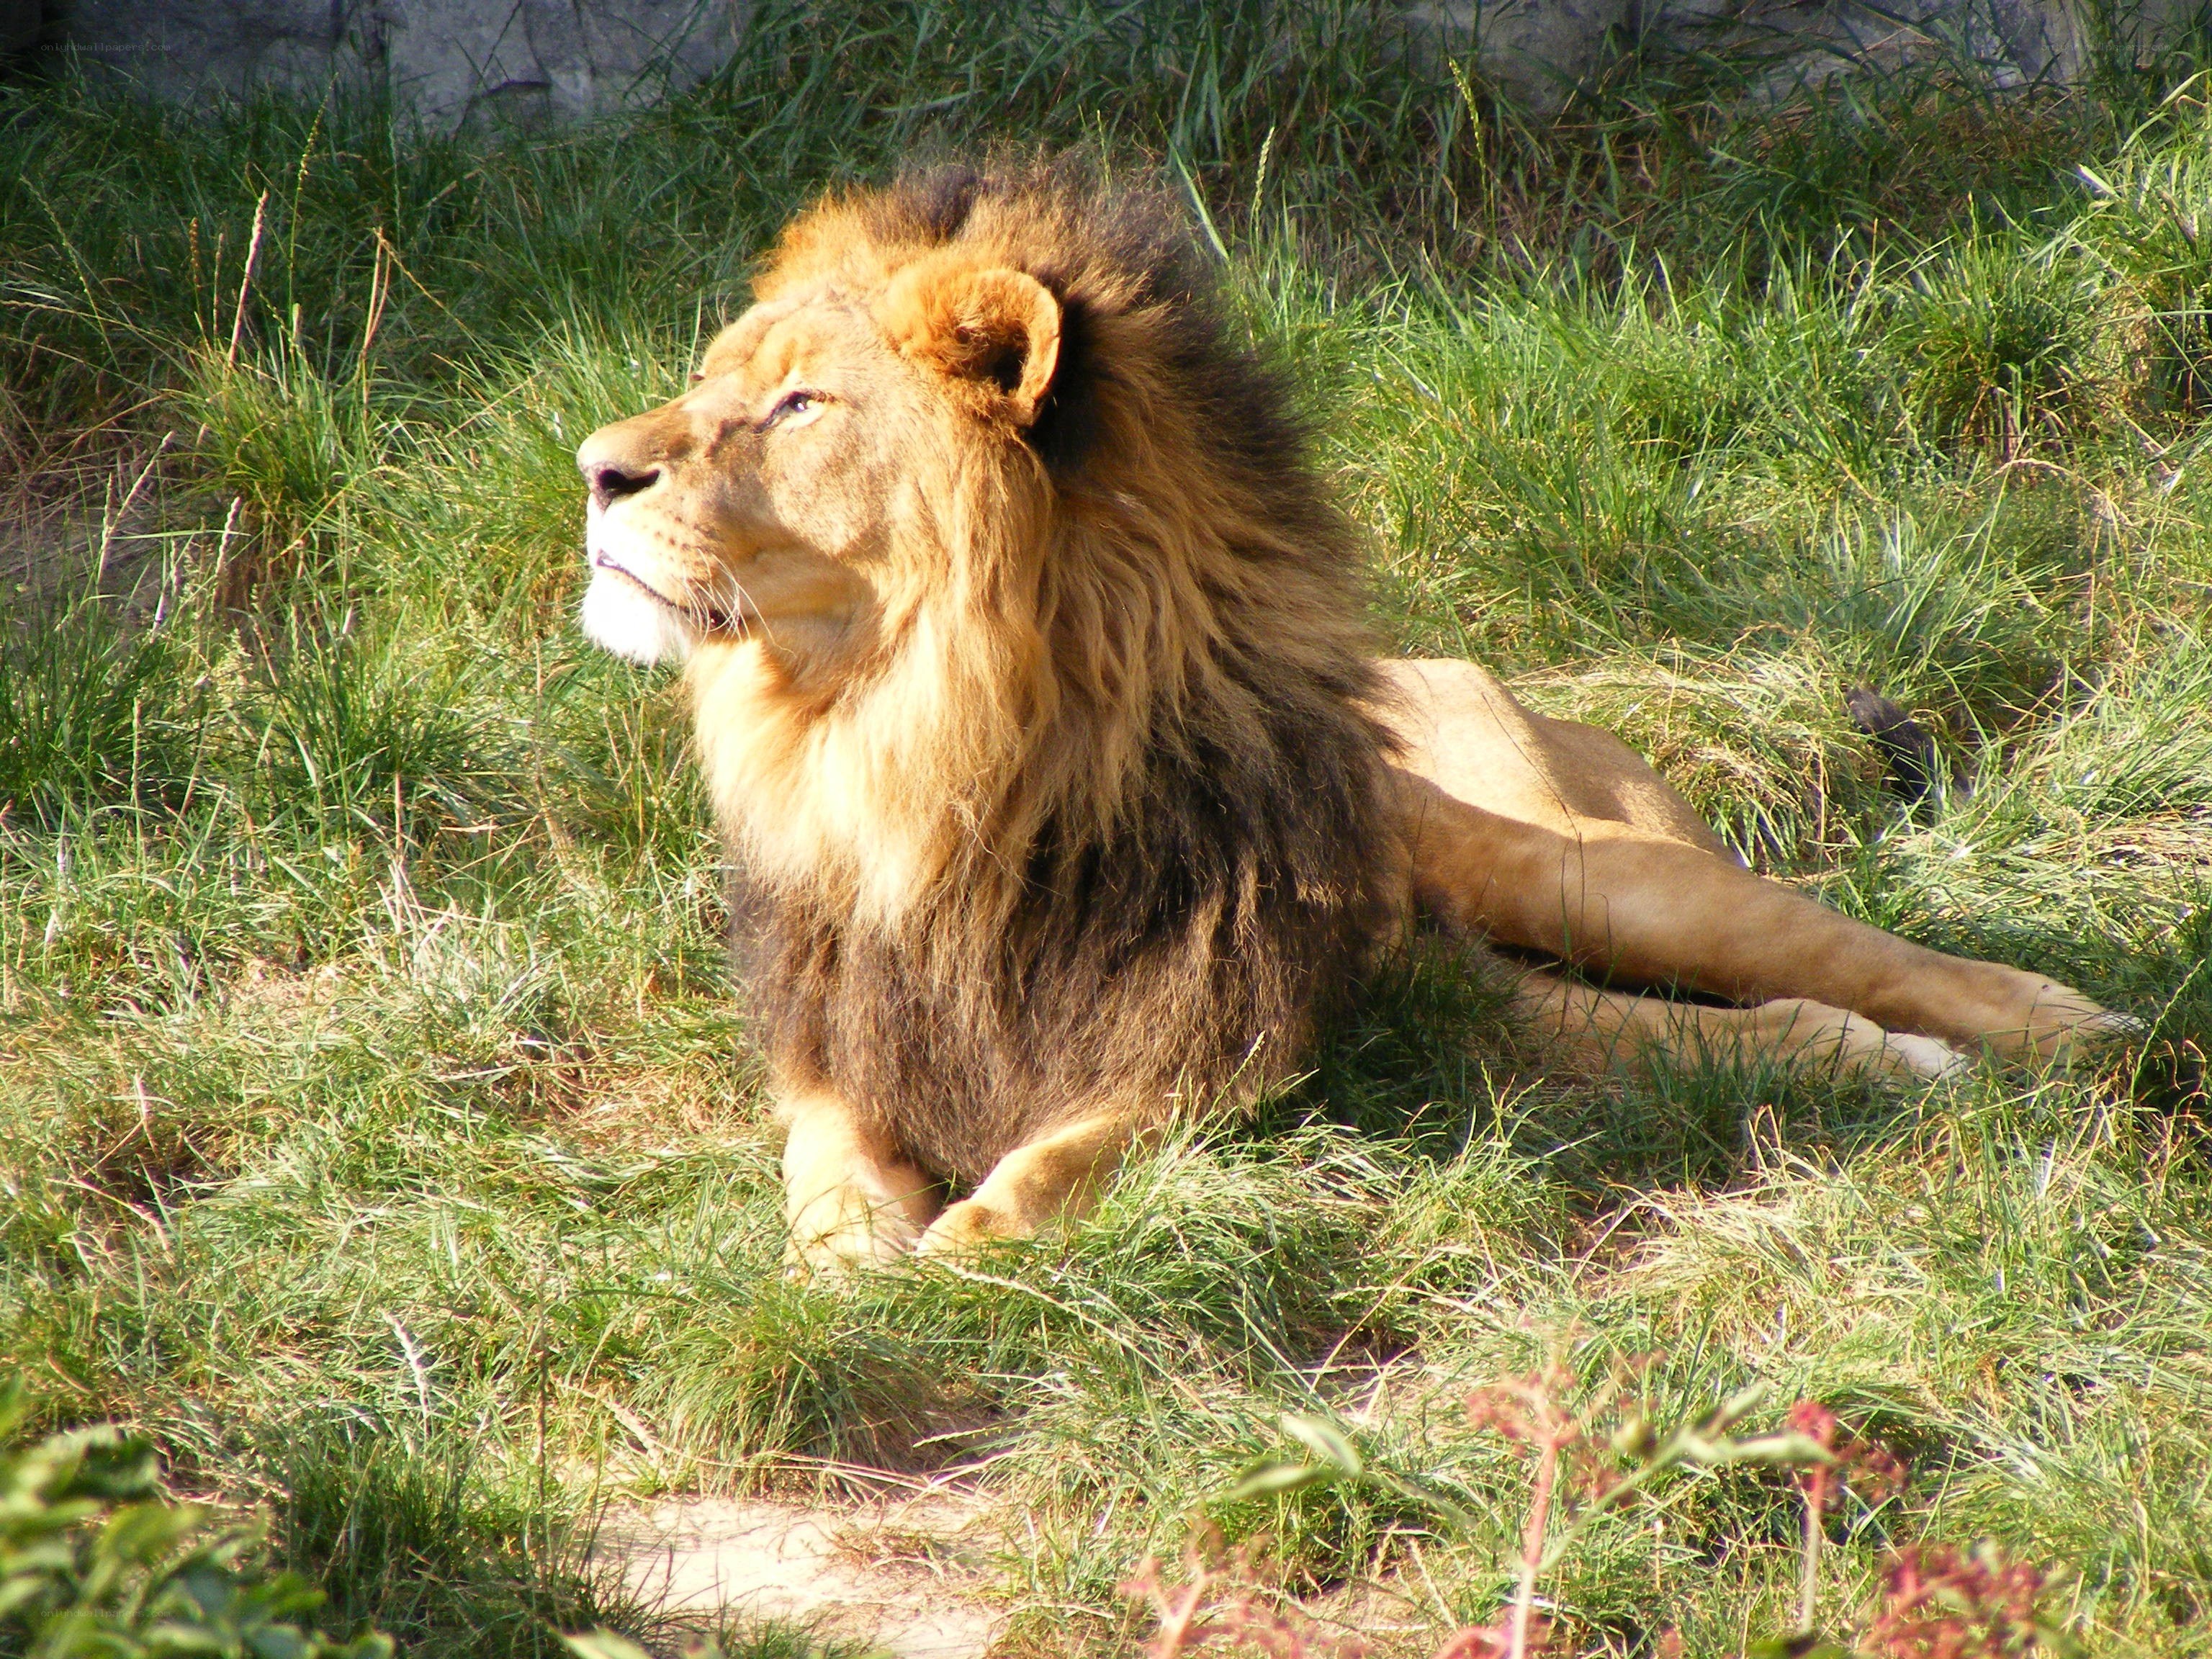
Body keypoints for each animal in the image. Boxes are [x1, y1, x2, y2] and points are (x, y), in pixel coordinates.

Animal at [572, 159, 2130, 1272]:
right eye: (709, 383)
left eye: (798, 405)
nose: (592, 468)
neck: (907, 745)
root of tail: (1450, 668)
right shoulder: (834, 1030)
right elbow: (825, 1161)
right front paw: (845, 1254)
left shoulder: (1223, 1016)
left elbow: (1083, 1147)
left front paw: (975, 1234)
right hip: (1483, 981)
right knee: (1667, 1030)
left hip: (1577, 870)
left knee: (1831, 953)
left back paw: (2056, 1025)